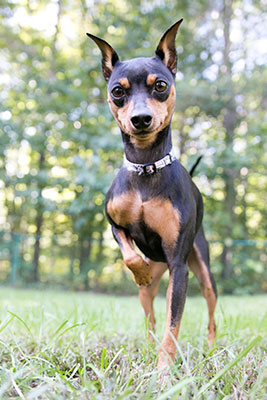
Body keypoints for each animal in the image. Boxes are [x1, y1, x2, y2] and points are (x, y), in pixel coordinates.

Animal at [88, 18, 218, 368]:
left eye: (160, 85)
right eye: (117, 91)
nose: (141, 118)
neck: (147, 167)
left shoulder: (179, 267)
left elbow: (173, 327)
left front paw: (163, 371)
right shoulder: (114, 224)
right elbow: (130, 254)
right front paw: (140, 271)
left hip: (199, 269)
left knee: (210, 312)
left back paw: (211, 347)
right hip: (154, 282)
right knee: (150, 315)